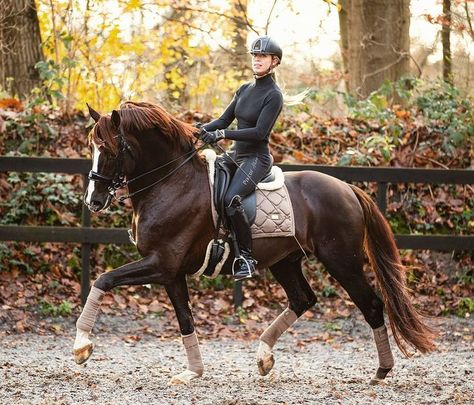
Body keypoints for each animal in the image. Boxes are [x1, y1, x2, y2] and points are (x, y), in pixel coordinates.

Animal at [75, 101, 436, 386]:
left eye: (109, 150)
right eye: (91, 148)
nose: (93, 201)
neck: (172, 183)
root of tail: (348, 188)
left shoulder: (161, 264)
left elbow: (103, 279)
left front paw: (81, 347)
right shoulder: (171, 273)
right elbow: (185, 319)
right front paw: (193, 372)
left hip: (341, 261)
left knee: (371, 305)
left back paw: (382, 370)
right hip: (285, 261)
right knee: (303, 299)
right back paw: (264, 358)